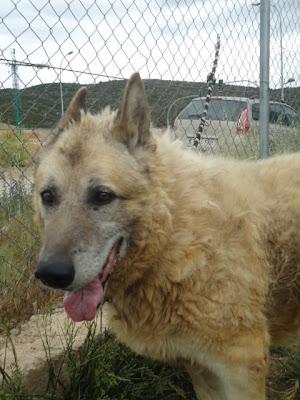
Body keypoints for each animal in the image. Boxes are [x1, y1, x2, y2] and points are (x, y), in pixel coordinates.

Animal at [34, 72, 300, 400]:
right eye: (48, 196)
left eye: (102, 196)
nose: (51, 274)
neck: (174, 235)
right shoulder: (201, 369)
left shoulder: (243, 368)